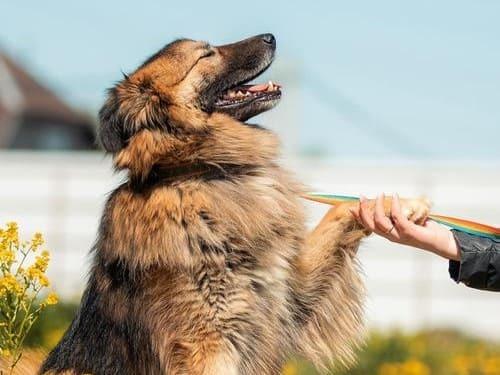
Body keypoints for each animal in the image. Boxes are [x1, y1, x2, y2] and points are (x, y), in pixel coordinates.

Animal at [40, 33, 430, 374]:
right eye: (206, 54)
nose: (271, 36)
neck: (204, 171)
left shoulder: (290, 293)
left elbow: (339, 211)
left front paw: (399, 207)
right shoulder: (207, 346)